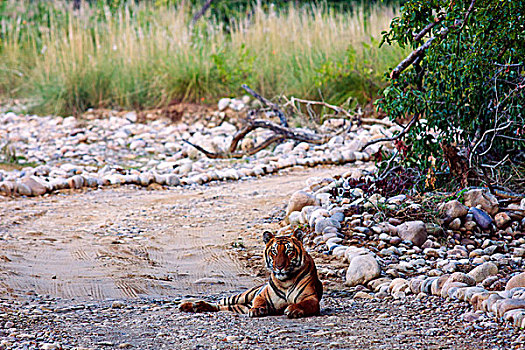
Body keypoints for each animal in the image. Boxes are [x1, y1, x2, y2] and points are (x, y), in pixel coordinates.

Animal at [179, 228, 324, 318]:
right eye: (274, 251)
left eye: (289, 252)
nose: (279, 267)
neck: (286, 280)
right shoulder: (261, 295)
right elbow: (259, 301)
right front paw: (257, 310)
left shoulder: (311, 298)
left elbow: (304, 303)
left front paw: (293, 309)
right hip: (241, 296)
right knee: (220, 302)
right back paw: (189, 305)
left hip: (240, 305)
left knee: (223, 307)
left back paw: (196, 306)